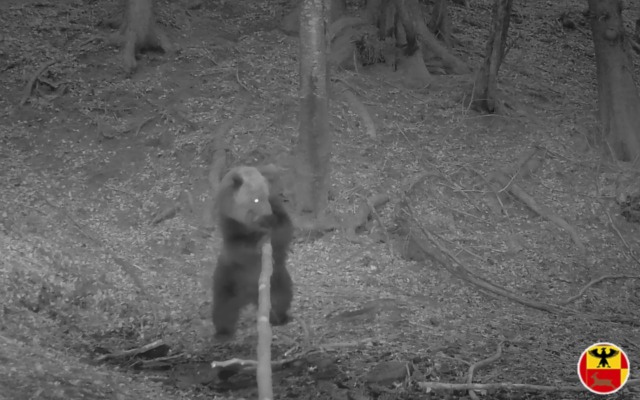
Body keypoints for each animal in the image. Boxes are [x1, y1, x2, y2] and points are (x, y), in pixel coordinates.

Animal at [211, 165, 294, 340]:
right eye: (255, 199)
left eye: (267, 196)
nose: (267, 214)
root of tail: (250, 297)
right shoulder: (230, 223)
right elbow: (238, 245)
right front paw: (256, 242)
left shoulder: (277, 211)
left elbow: (284, 229)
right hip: (229, 277)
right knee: (223, 306)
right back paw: (223, 332)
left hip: (276, 278)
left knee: (281, 297)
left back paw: (280, 318)